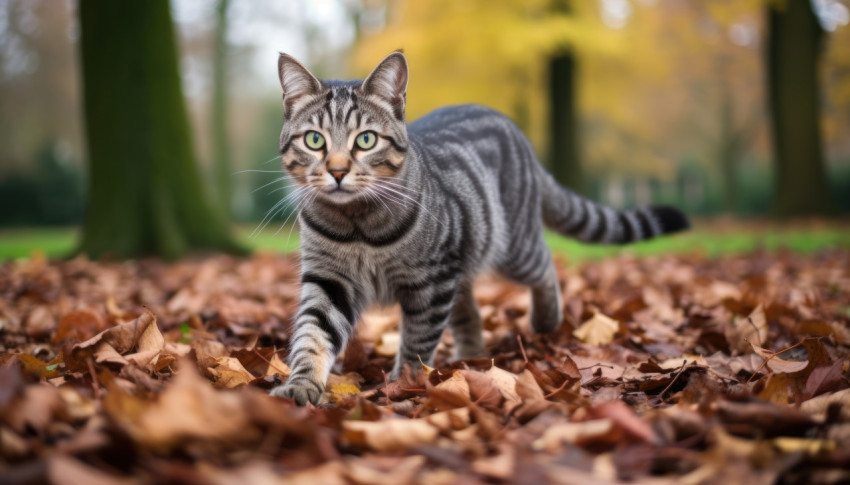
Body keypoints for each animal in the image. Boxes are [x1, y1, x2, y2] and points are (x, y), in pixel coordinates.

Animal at [268, 52, 684, 404]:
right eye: (315, 140)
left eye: (366, 140)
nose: (338, 171)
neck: (356, 227)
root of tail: (518, 134)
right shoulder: (329, 278)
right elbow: (313, 334)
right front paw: (302, 384)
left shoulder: (429, 282)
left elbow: (418, 339)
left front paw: (405, 383)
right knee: (470, 313)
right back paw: (466, 363)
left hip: (512, 249)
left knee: (544, 266)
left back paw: (545, 319)